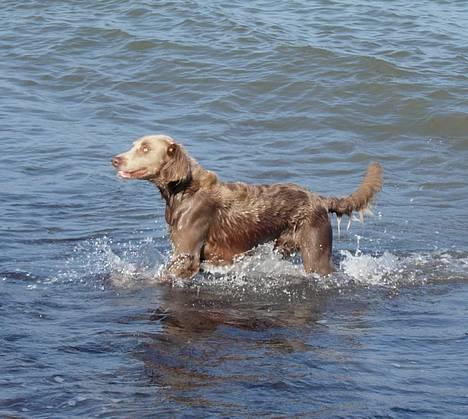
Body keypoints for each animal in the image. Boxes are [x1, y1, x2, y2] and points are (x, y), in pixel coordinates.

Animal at [111, 135, 382, 278]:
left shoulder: (186, 255)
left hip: (316, 249)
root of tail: (319, 199)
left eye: (145, 148)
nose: (114, 159)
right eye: (134, 145)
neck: (183, 189)